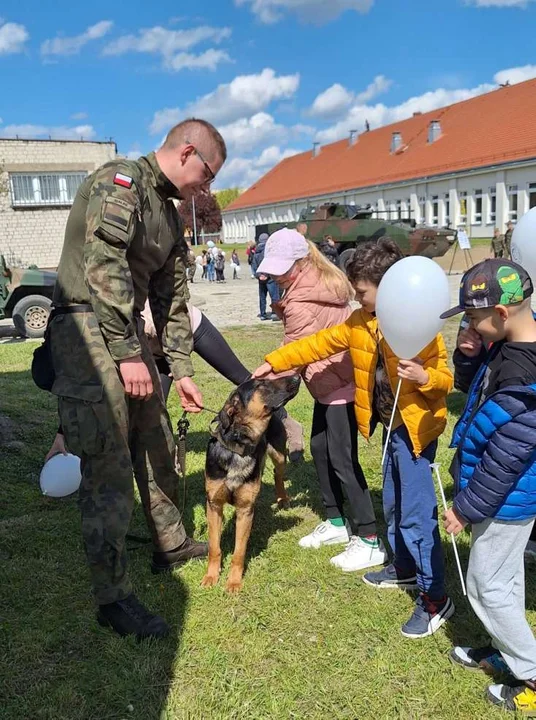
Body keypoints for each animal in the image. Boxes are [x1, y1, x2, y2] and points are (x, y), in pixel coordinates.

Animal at [202, 374, 302, 592]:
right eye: (261, 384)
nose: (297, 376)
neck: (238, 447)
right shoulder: (213, 506)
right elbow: (214, 547)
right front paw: (211, 576)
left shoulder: (245, 510)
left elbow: (239, 552)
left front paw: (233, 582)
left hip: (279, 455)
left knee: (278, 475)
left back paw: (282, 499)